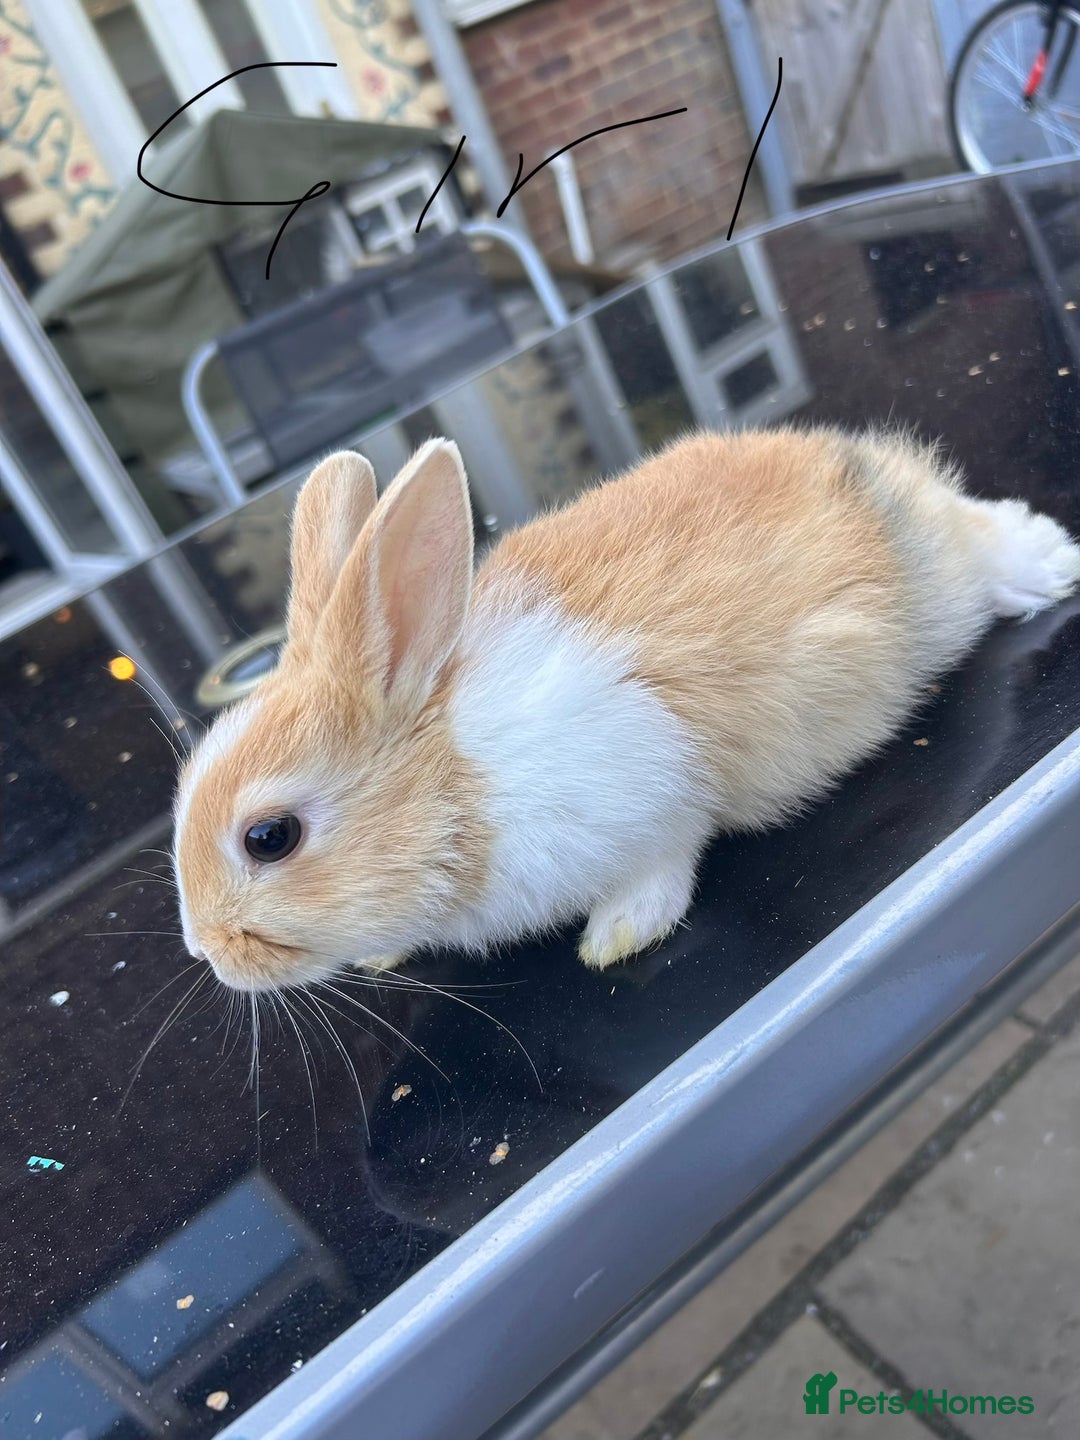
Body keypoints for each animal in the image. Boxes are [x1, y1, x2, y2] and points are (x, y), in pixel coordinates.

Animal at [173, 425, 1080, 992]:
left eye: (269, 837)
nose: (207, 953)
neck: (456, 781)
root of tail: (860, 468)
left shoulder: (655, 802)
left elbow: (662, 871)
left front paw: (614, 940)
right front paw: (383, 955)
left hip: (943, 590)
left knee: (986, 541)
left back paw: (1050, 564)